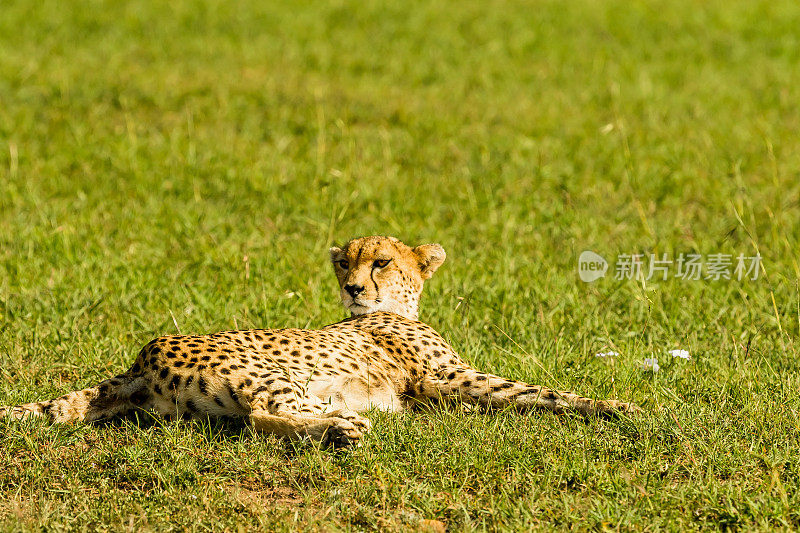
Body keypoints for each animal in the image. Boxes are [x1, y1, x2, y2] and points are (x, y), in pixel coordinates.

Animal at [0, 235, 636, 446]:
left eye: (381, 262)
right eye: (346, 265)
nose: (354, 288)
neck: (390, 309)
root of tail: (145, 353)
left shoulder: (440, 387)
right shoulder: (446, 377)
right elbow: (538, 391)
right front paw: (616, 406)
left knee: (254, 421)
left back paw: (337, 426)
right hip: (271, 373)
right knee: (266, 412)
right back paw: (342, 428)